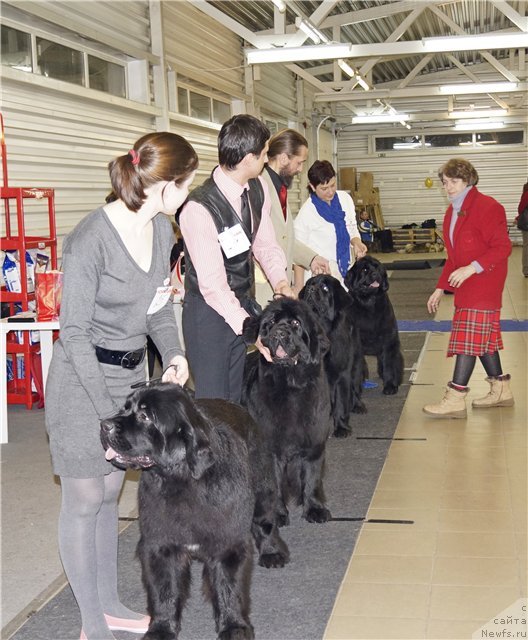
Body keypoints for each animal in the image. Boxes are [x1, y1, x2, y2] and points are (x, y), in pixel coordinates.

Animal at [99, 382, 288, 640]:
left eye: (145, 416)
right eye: (125, 407)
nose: (104, 424)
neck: (182, 480)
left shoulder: (227, 542)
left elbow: (229, 587)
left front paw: (234, 627)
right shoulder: (161, 543)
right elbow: (164, 590)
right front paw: (161, 629)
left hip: (262, 486)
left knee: (265, 520)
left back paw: (272, 552)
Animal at [242, 298, 332, 528]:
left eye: (295, 323)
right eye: (271, 323)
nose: (279, 333)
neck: (291, 385)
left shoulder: (314, 442)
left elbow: (312, 477)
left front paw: (315, 509)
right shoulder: (271, 448)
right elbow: (274, 483)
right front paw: (276, 514)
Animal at [302, 272, 368, 438]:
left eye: (325, 288)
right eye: (309, 284)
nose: (310, 289)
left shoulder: (341, 374)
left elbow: (341, 403)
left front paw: (342, 428)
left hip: (355, 364)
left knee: (355, 386)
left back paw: (358, 406)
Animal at [342, 255, 404, 396]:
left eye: (378, 268)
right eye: (364, 270)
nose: (376, 274)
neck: (369, 302)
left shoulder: (388, 340)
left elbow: (389, 364)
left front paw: (390, 386)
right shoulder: (356, 343)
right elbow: (356, 367)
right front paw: (355, 390)